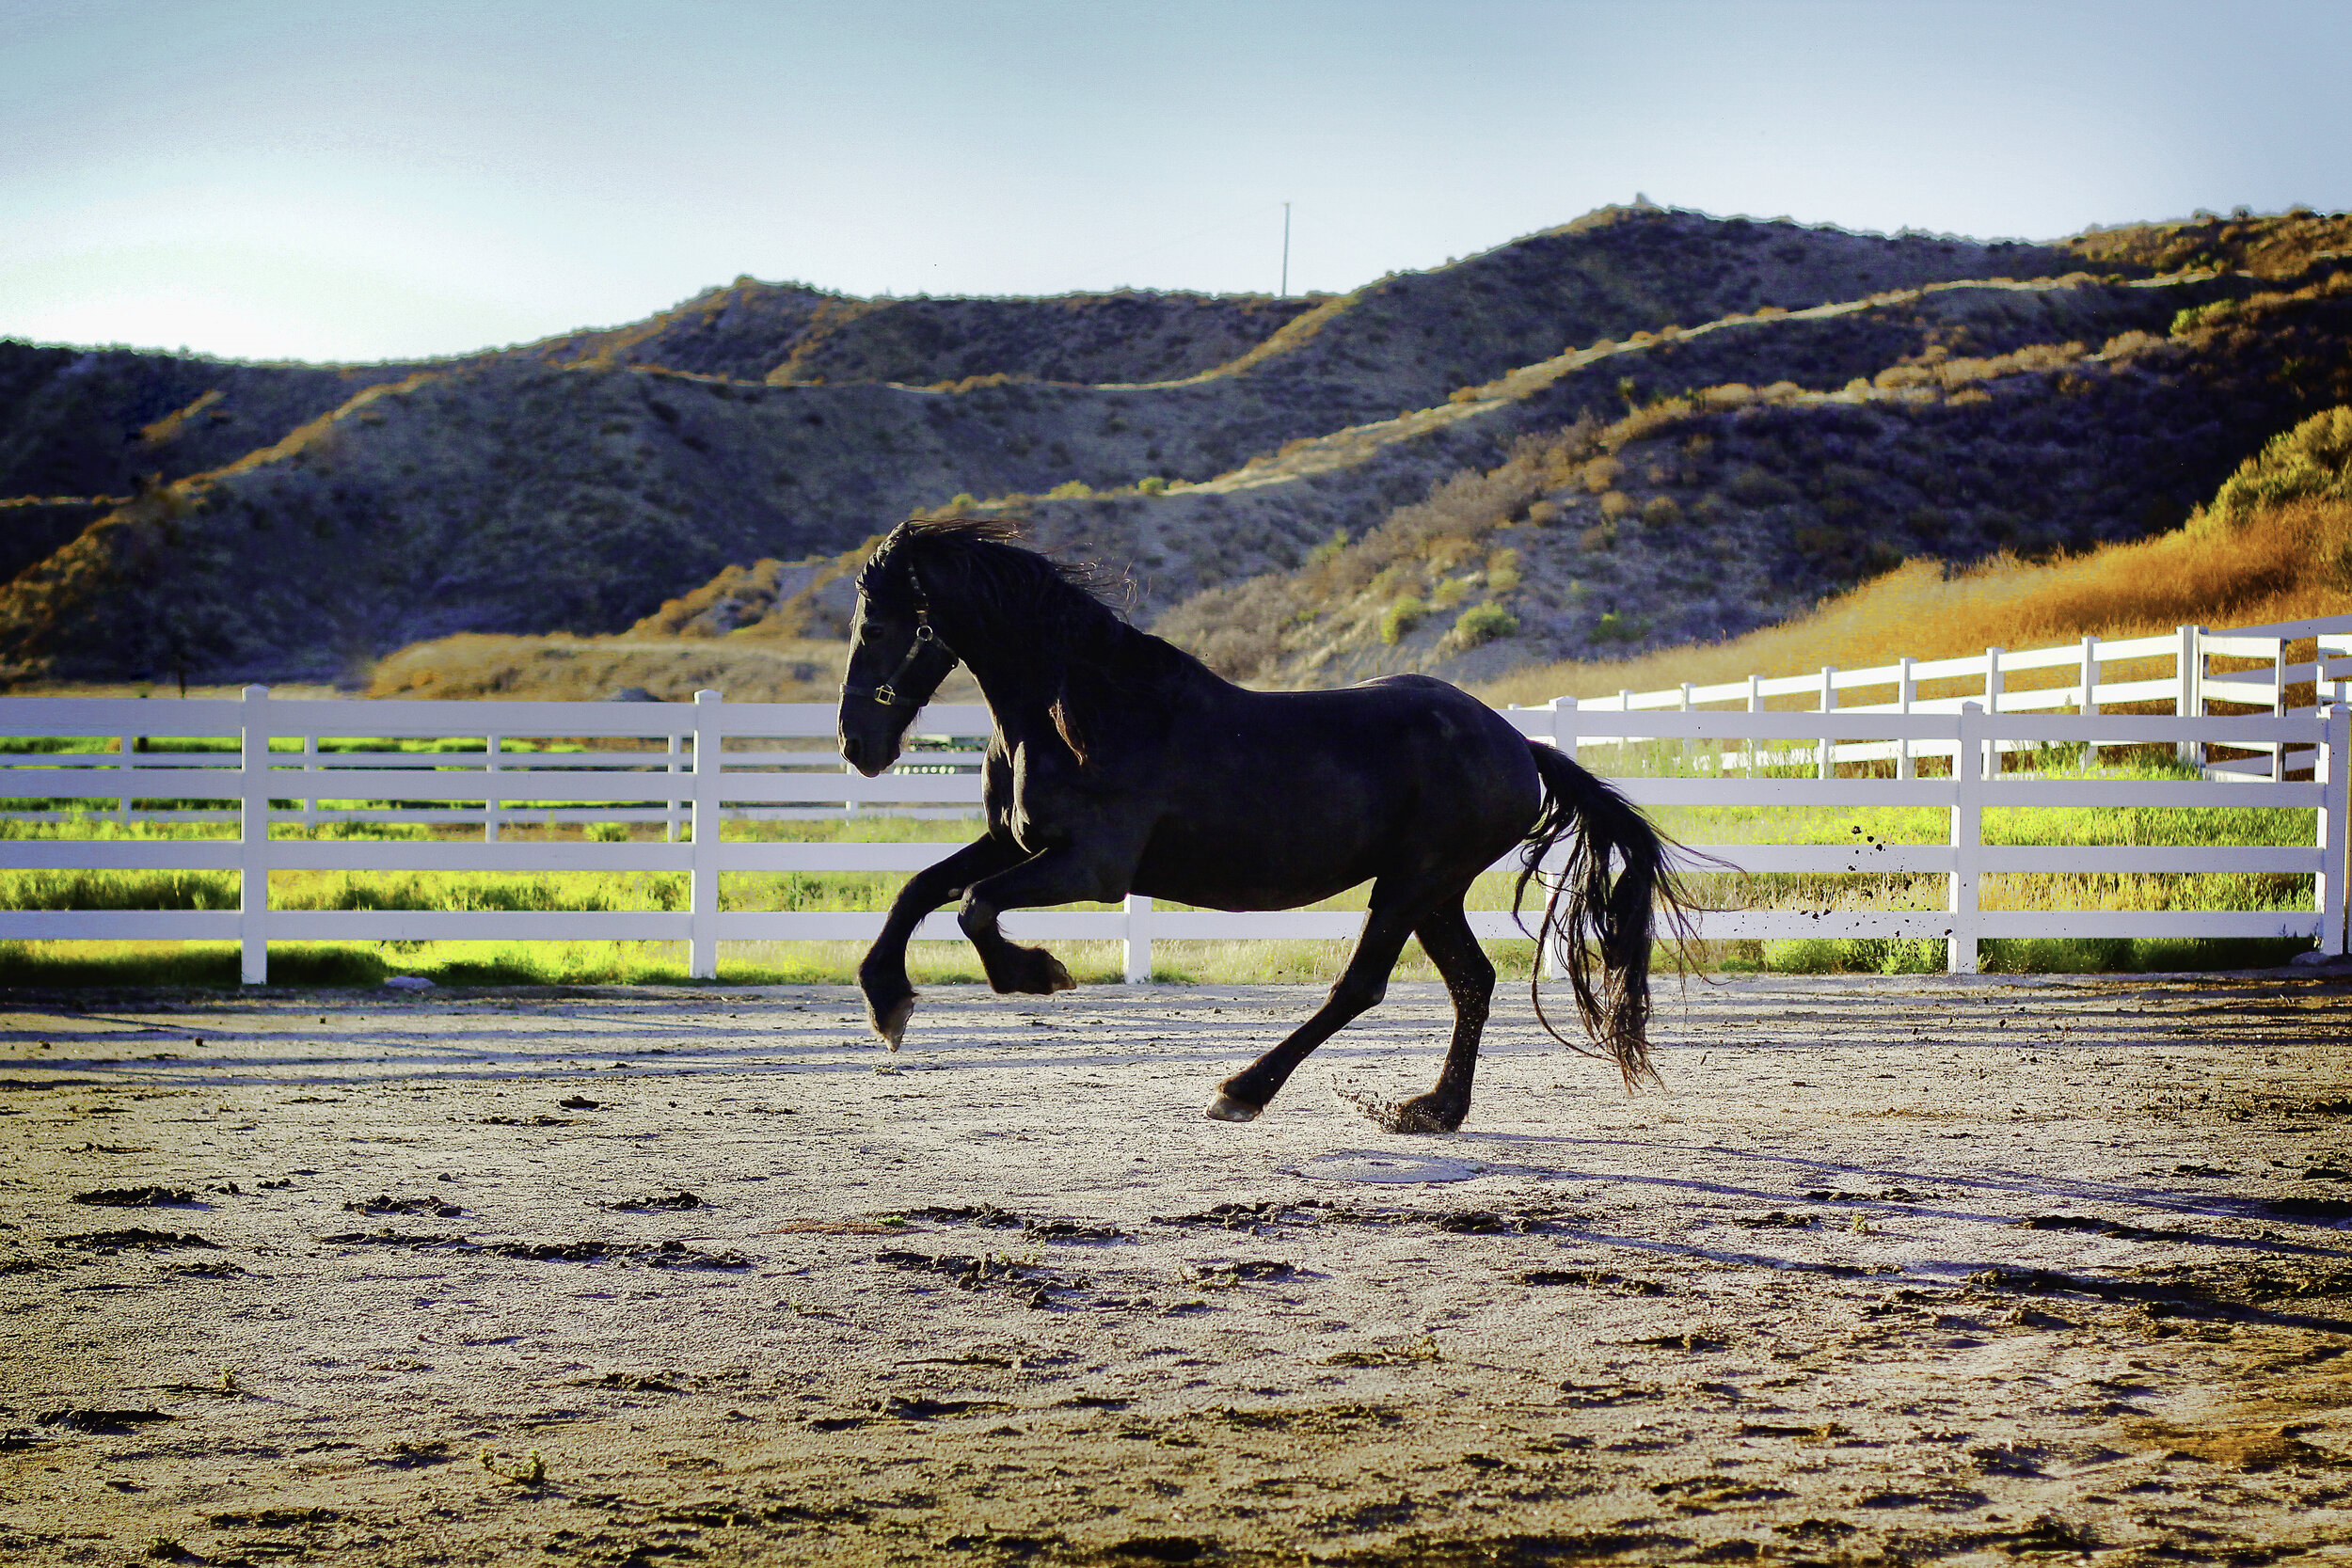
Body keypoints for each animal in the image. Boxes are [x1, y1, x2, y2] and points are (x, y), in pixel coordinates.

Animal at [834, 517, 1692, 1132]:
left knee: (1361, 985)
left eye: (875, 628)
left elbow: (973, 905)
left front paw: (1038, 973)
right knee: (1472, 982)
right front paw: (887, 1004)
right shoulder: (1016, 841)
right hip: (1434, 891)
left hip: (1411, 883)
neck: (1078, 708)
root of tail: (1521, 746)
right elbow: (921, 889)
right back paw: (1430, 1110)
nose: (856, 746)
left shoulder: (1090, 866)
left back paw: (1243, 1090)